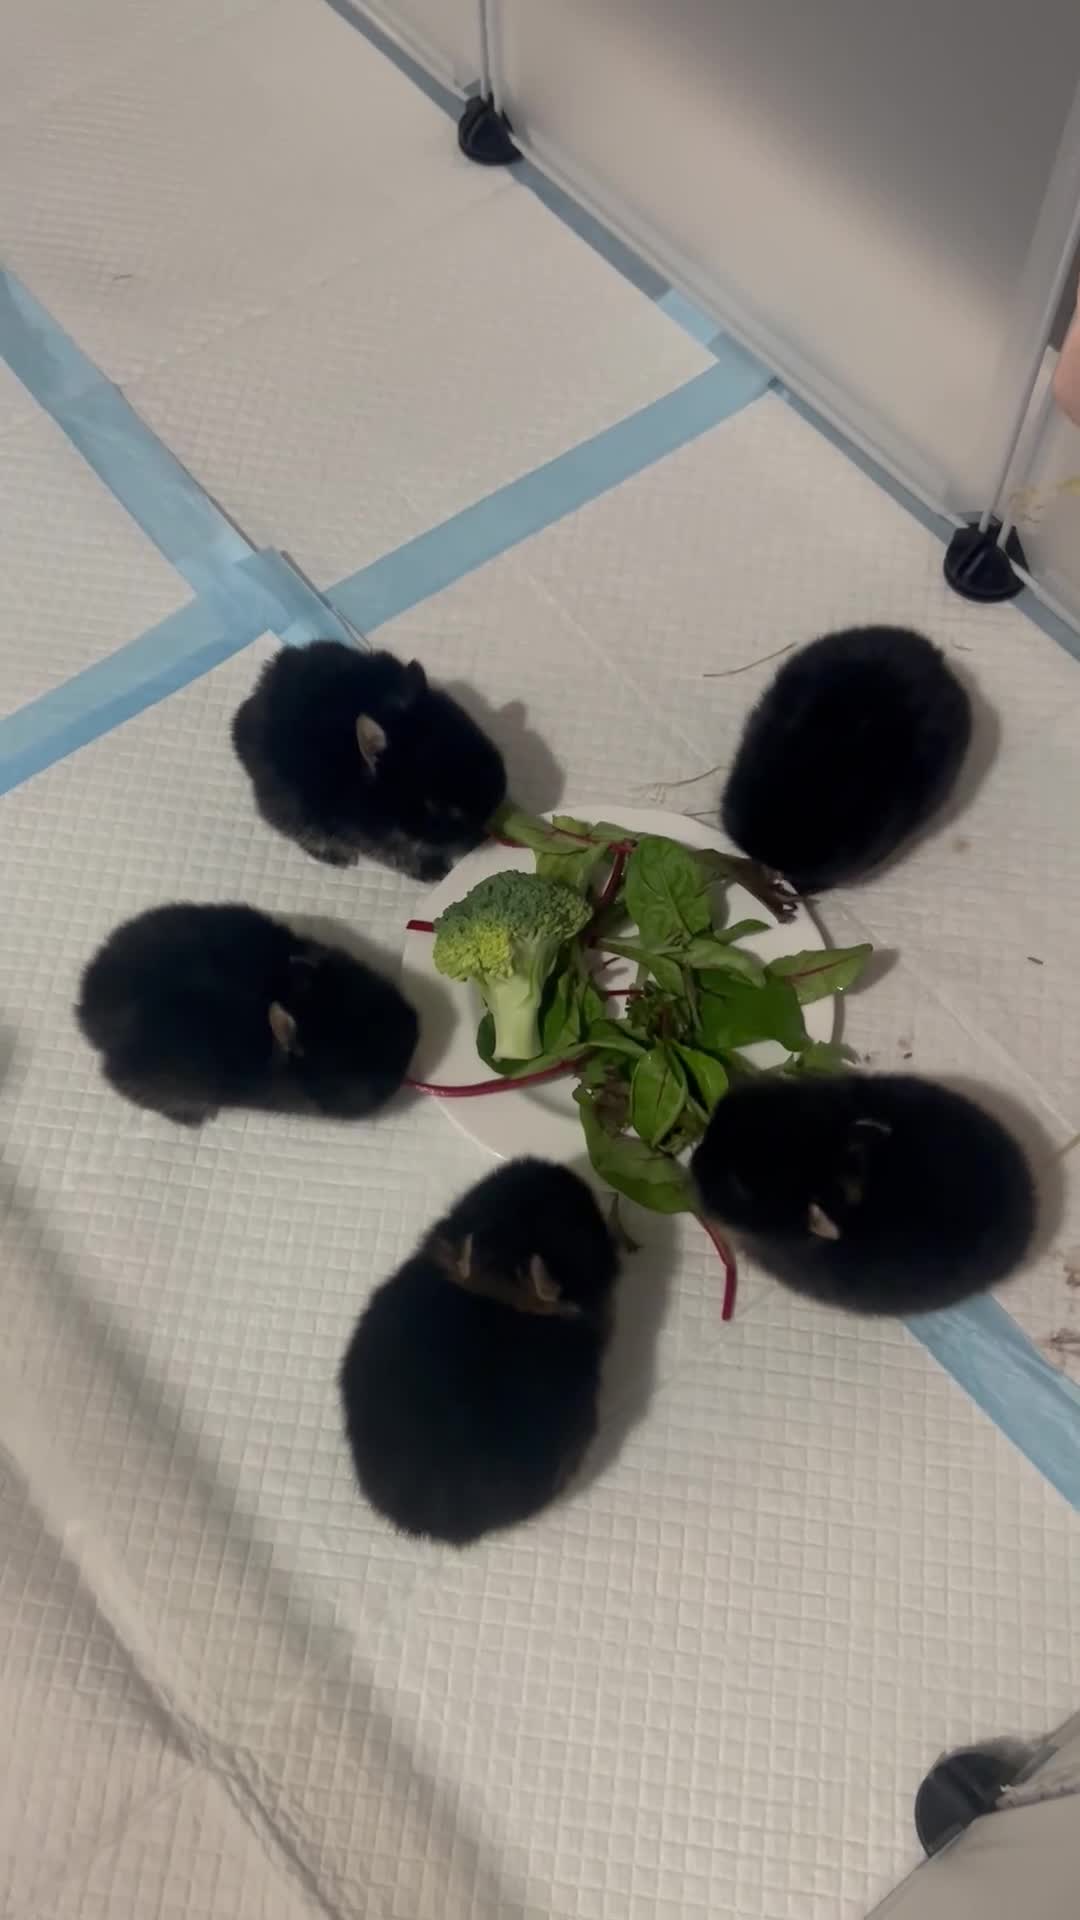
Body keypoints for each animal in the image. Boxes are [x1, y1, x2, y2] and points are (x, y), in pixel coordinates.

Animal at [231, 641, 507, 882]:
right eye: (437, 807)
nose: (485, 831)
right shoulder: (366, 834)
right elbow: (396, 854)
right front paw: (434, 872)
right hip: (292, 808)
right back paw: (337, 856)